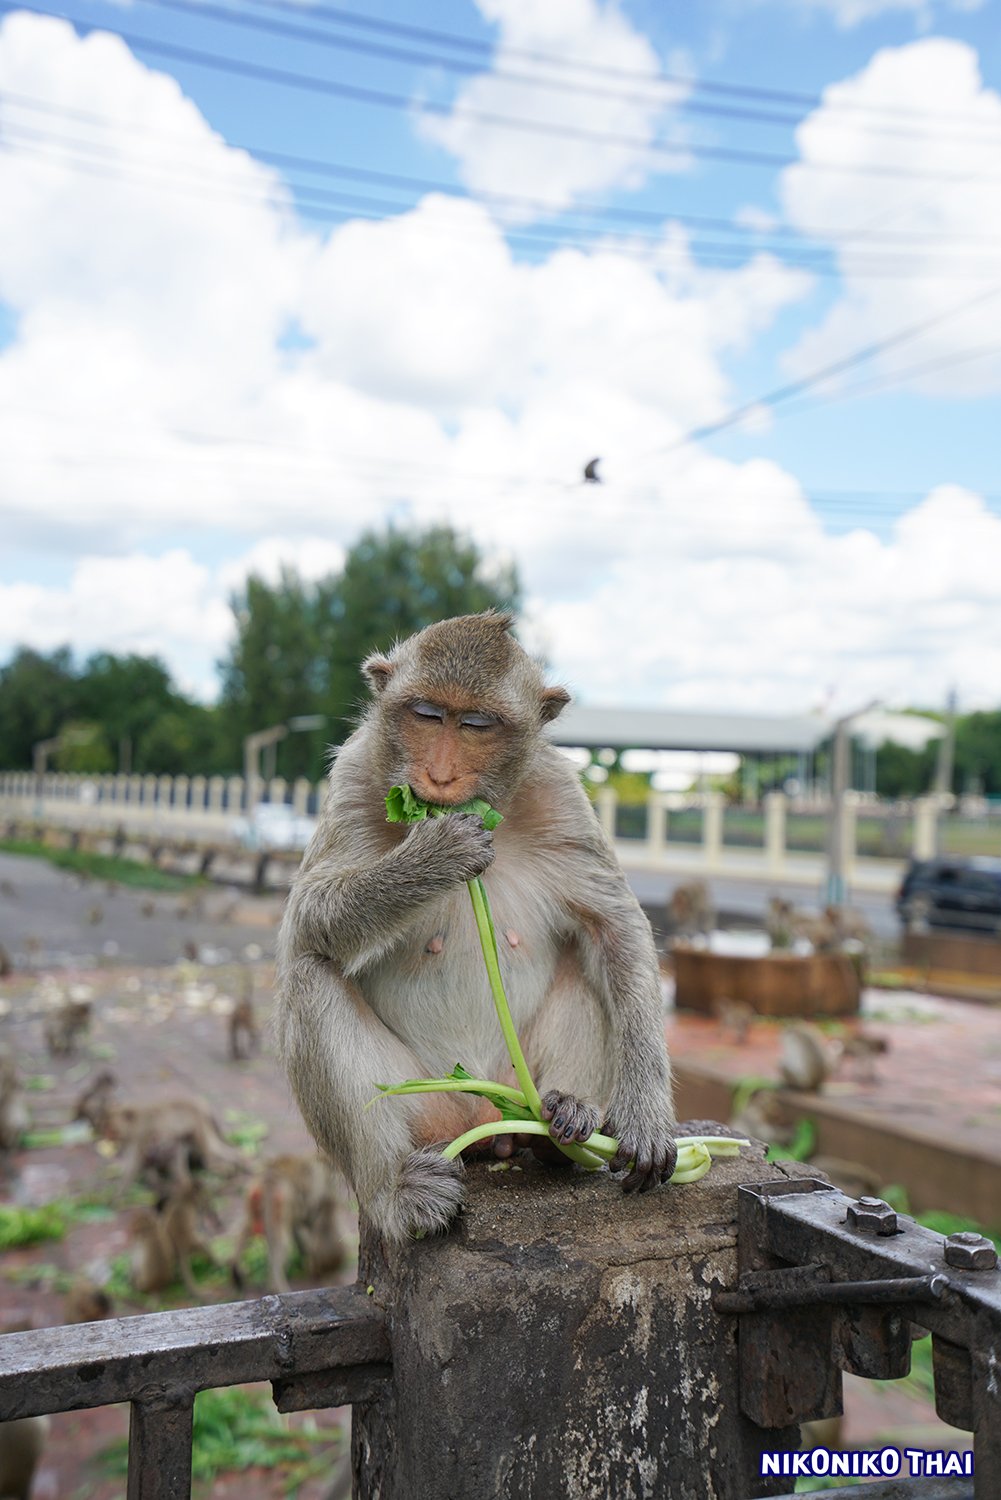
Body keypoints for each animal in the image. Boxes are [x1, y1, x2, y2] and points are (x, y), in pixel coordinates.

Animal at [277, 609, 678, 1242]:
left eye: (476, 724)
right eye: (426, 715)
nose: (439, 776)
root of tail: (482, 1116)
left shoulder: (560, 796)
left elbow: (618, 928)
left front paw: (645, 1115)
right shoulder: (355, 774)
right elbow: (308, 919)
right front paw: (434, 854)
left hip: (514, 1084)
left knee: (591, 967)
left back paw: (566, 1123)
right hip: (420, 1102)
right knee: (310, 978)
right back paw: (394, 1189)